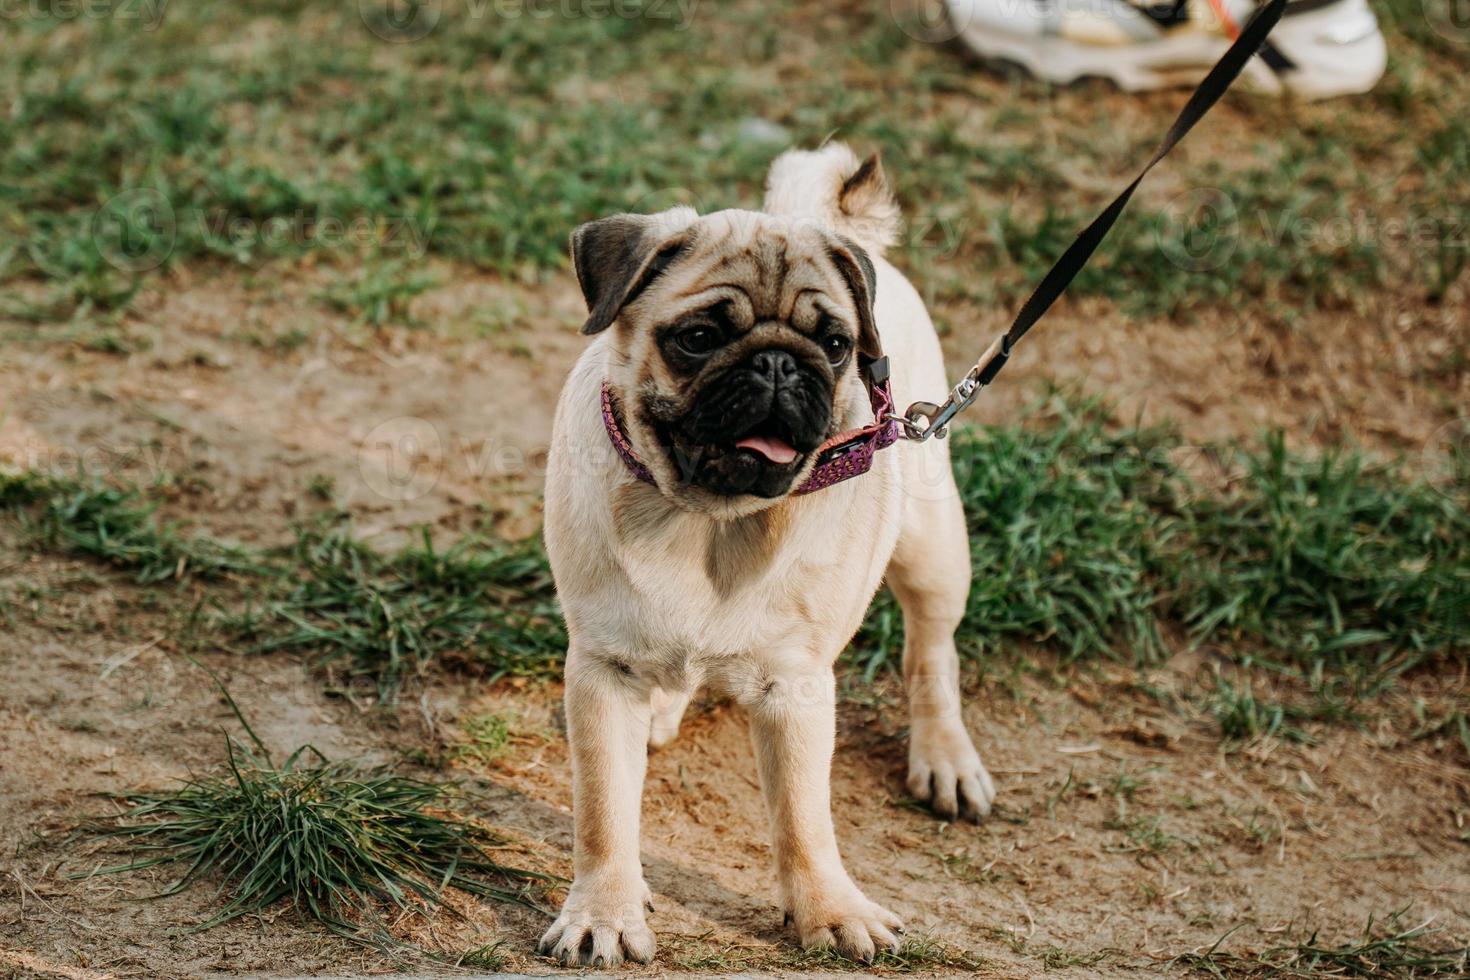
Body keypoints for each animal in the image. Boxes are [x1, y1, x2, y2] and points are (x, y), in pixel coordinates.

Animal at [535, 141, 993, 969]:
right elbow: (604, 813)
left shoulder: (796, 686)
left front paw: (829, 912)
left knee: (932, 653)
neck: (709, 523)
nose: (780, 364)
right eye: (698, 338)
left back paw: (945, 757)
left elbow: (804, 819)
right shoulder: (604, 670)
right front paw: (605, 913)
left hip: (933, 547)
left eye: (836, 347)